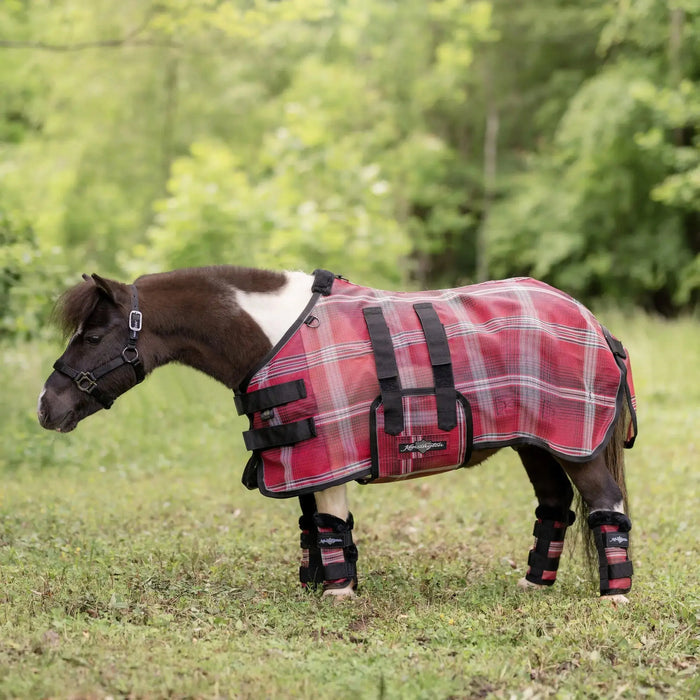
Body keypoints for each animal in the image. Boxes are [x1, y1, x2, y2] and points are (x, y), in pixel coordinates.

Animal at [38, 266, 637, 604]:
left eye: (92, 335)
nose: (47, 407)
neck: (274, 334)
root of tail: (593, 321)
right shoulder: (300, 453)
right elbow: (313, 526)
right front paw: (315, 583)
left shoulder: (328, 453)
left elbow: (330, 522)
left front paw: (338, 592)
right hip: (537, 443)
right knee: (555, 504)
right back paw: (536, 583)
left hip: (574, 445)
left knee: (605, 502)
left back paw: (616, 595)